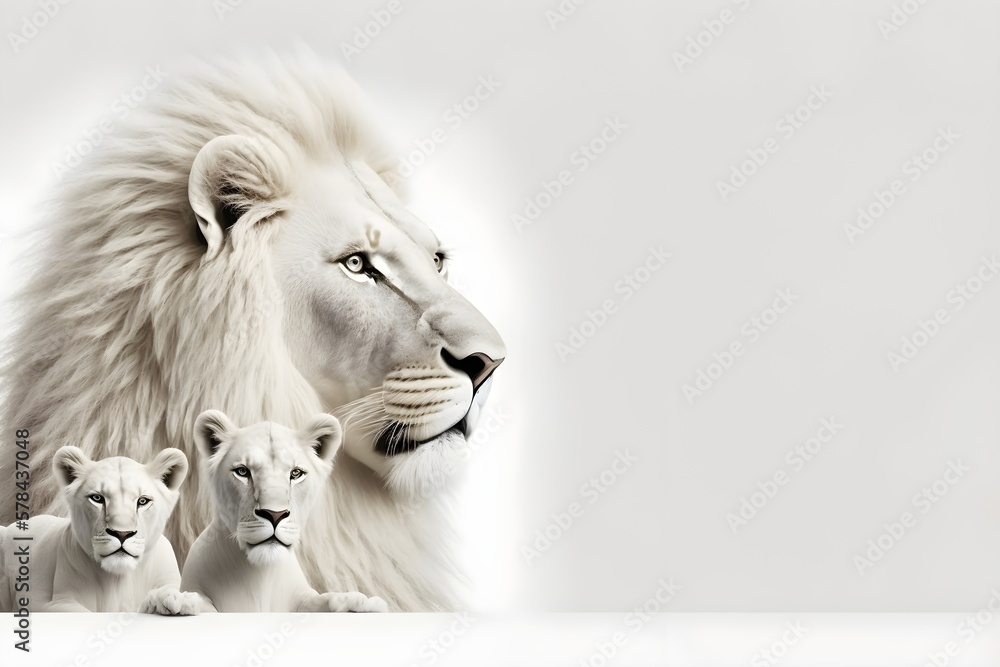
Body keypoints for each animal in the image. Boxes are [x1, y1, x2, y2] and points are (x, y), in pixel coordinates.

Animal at [0, 447, 188, 612]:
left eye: (142, 501)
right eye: (97, 498)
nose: (122, 533)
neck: (119, 580)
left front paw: (174, 600)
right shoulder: (59, 601)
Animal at [143, 410, 386, 614]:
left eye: (296, 473)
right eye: (242, 471)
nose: (275, 515)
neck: (261, 576)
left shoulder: (301, 599)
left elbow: (319, 601)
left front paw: (358, 602)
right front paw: (174, 599)